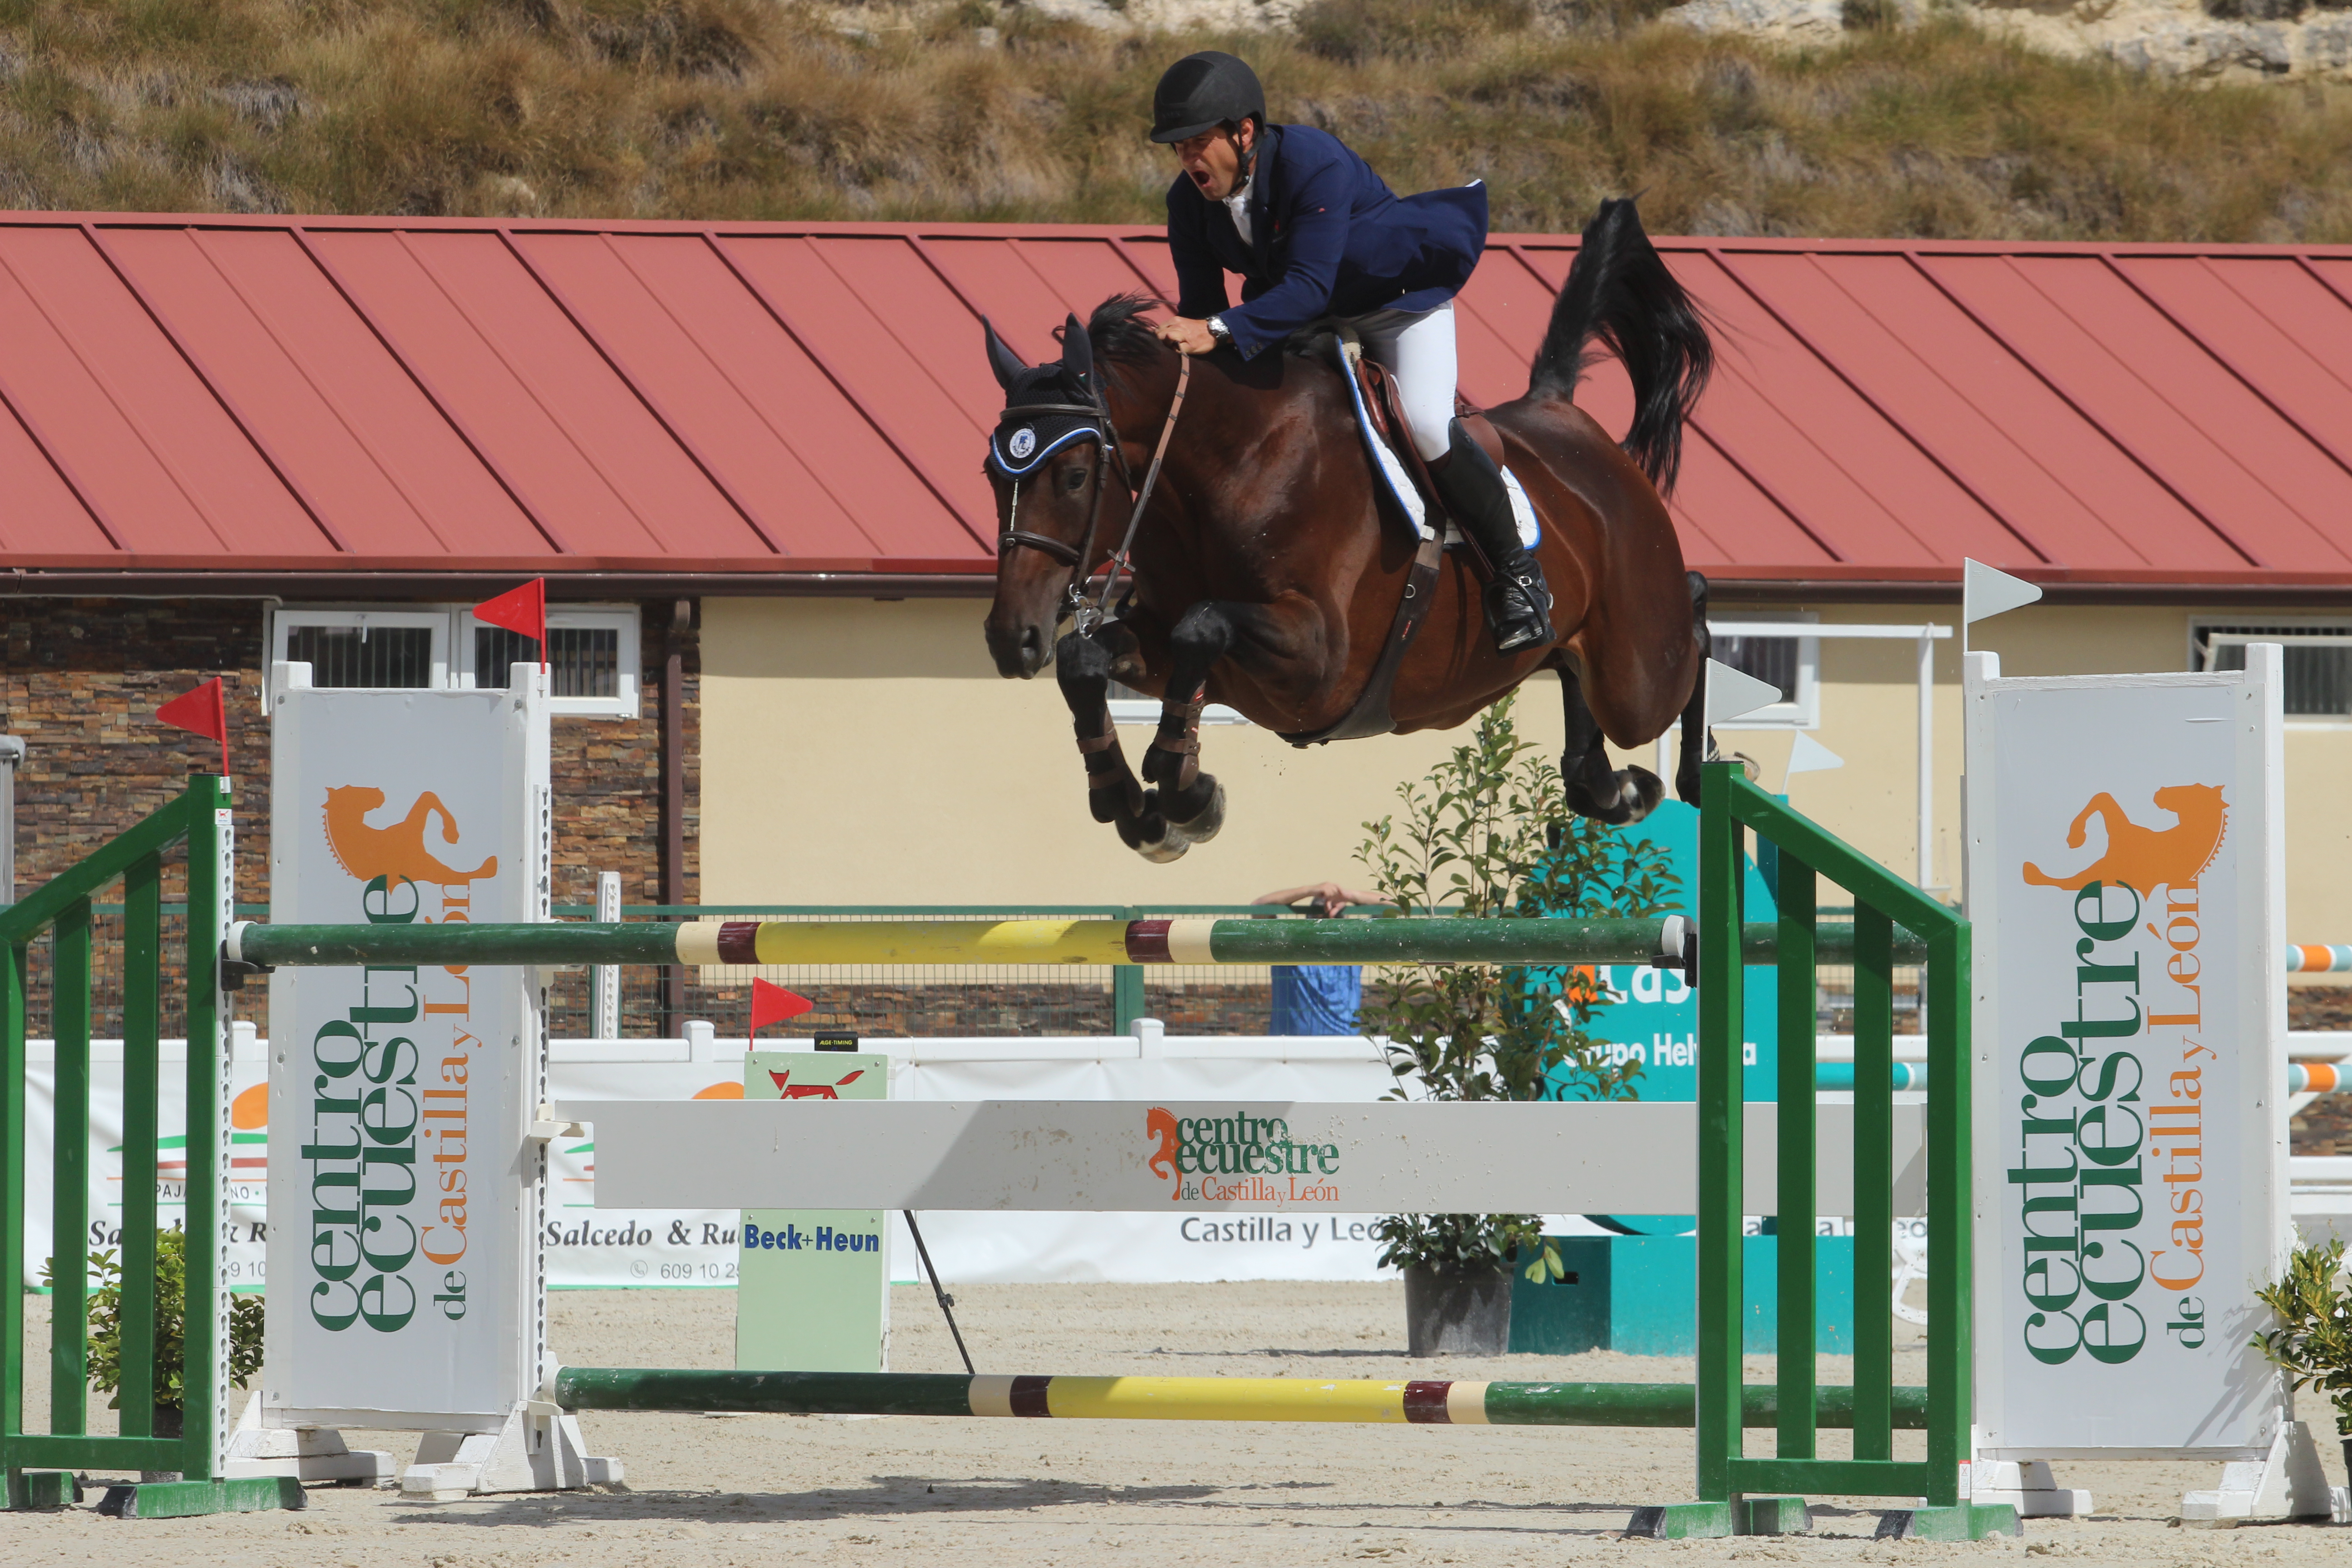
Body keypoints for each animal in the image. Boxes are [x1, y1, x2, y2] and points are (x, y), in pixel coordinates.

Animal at [974, 197, 1712, 865]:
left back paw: (1696, 770)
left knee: (1692, 626)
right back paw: (1614, 788)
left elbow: (1202, 626)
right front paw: (1139, 809)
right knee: (1579, 687)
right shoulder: (1170, 643)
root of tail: (1561, 412)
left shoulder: (1320, 658)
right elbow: (1086, 661)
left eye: (1073, 476)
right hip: (1580, 652)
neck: (1228, 467)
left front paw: (1184, 791)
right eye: (991, 473)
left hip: (1639, 671)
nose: (1012, 640)